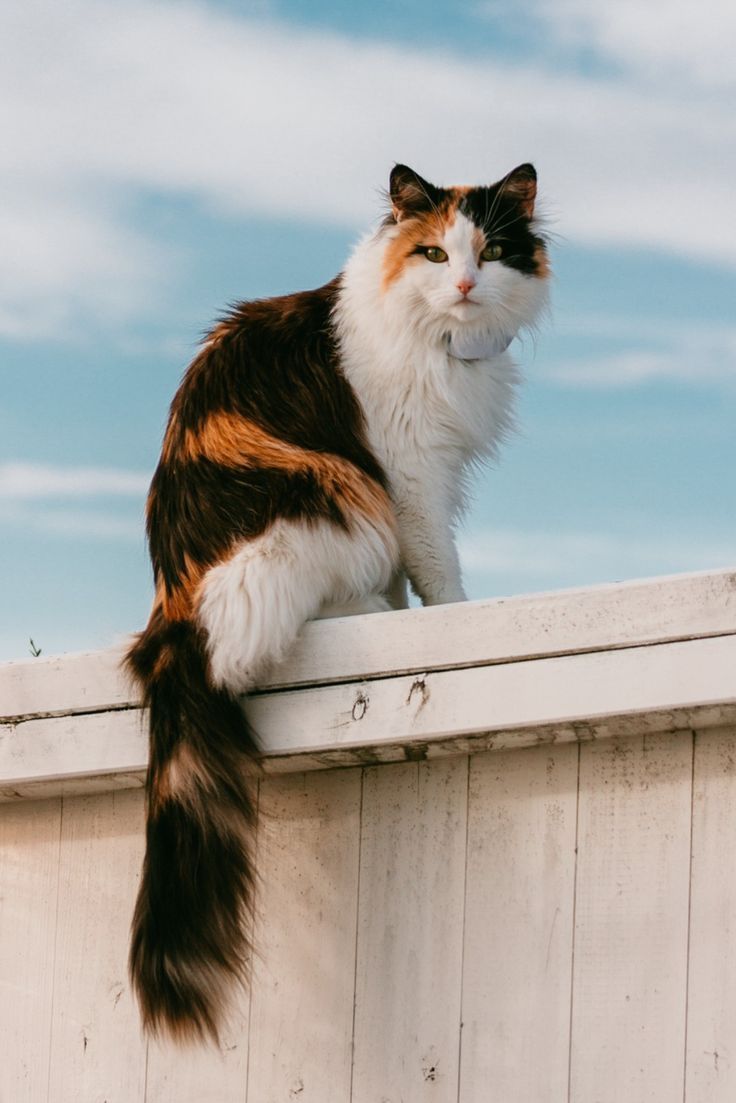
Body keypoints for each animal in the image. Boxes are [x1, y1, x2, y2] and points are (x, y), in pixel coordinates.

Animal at [126, 161, 549, 1041]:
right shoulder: (409, 472)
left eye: (491, 252)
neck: (441, 340)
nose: (464, 282)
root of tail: (170, 610)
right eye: (433, 253)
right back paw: (371, 617)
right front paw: (447, 614)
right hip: (334, 495)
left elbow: (407, 572)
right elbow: (437, 568)